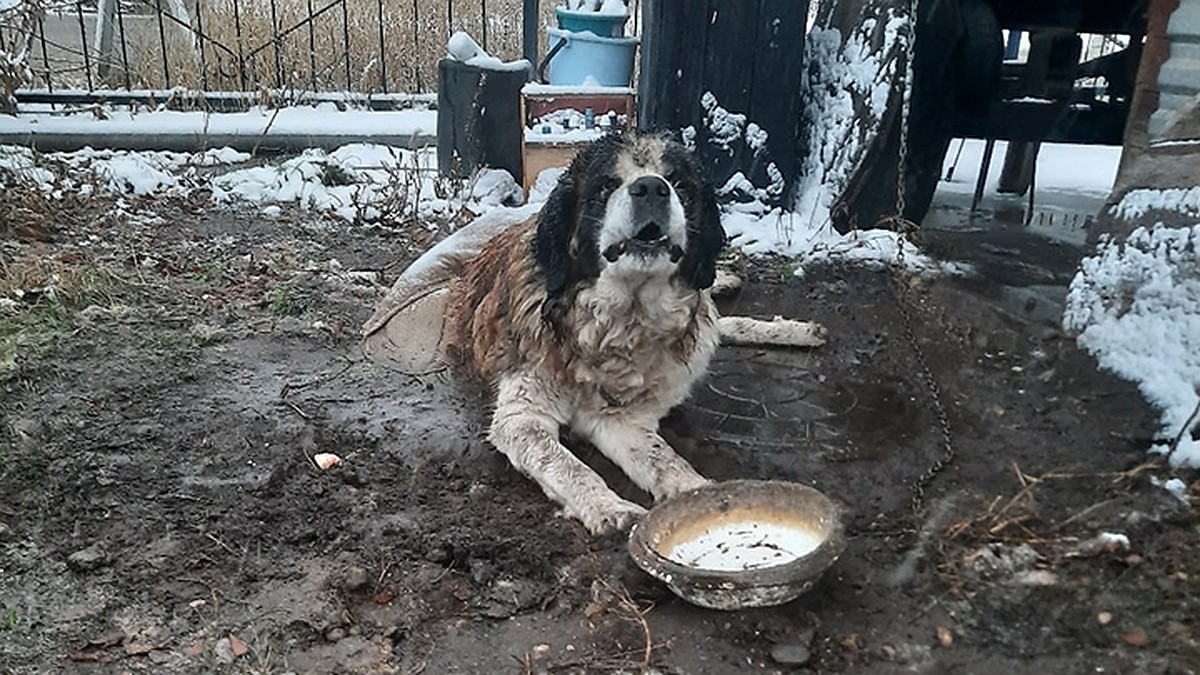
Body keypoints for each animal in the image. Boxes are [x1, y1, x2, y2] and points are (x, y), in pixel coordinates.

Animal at [362, 131, 720, 530]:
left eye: (679, 184)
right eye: (605, 185)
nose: (652, 187)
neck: (623, 317)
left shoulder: (621, 420)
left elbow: (663, 458)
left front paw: (701, 495)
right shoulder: (522, 418)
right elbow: (566, 464)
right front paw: (612, 509)